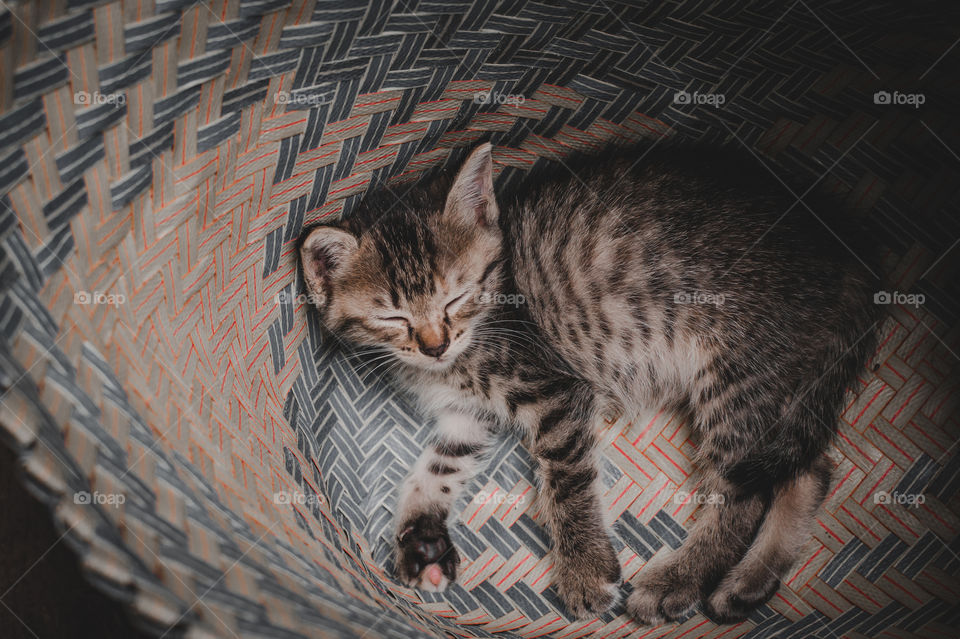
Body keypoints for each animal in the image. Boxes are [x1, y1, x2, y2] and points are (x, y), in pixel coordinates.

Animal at [298, 141, 876, 624]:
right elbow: (435, 468)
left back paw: (678, 581)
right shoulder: (467, 416)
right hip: (781, 382)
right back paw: (747, 585)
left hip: (739, 370)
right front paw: (419, 534)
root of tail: (848, 255)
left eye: (456, 297)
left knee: (746, 492)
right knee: (810, 468)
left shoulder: (552, 388)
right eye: (393, 317)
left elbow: (566, 480)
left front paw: (584, 569)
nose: (435, 345)